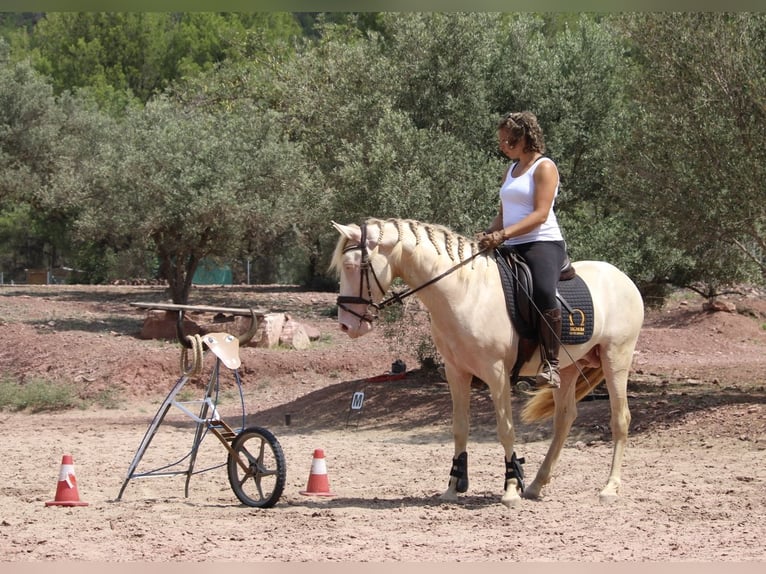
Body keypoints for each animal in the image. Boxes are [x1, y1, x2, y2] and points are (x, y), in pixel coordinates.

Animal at [332, 219, 644, 508]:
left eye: (350, 266)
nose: (346, 325)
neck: (465, 293)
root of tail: (623, 278)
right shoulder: (456, 372)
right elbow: (460, 427)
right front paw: (453, 486)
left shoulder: (496, 374)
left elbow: (505, 429)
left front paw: (510, 489)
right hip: (567, 368)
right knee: (564, 418)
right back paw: (536, 485)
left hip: (616, 357)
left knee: (620, 418)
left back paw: (609, 488)